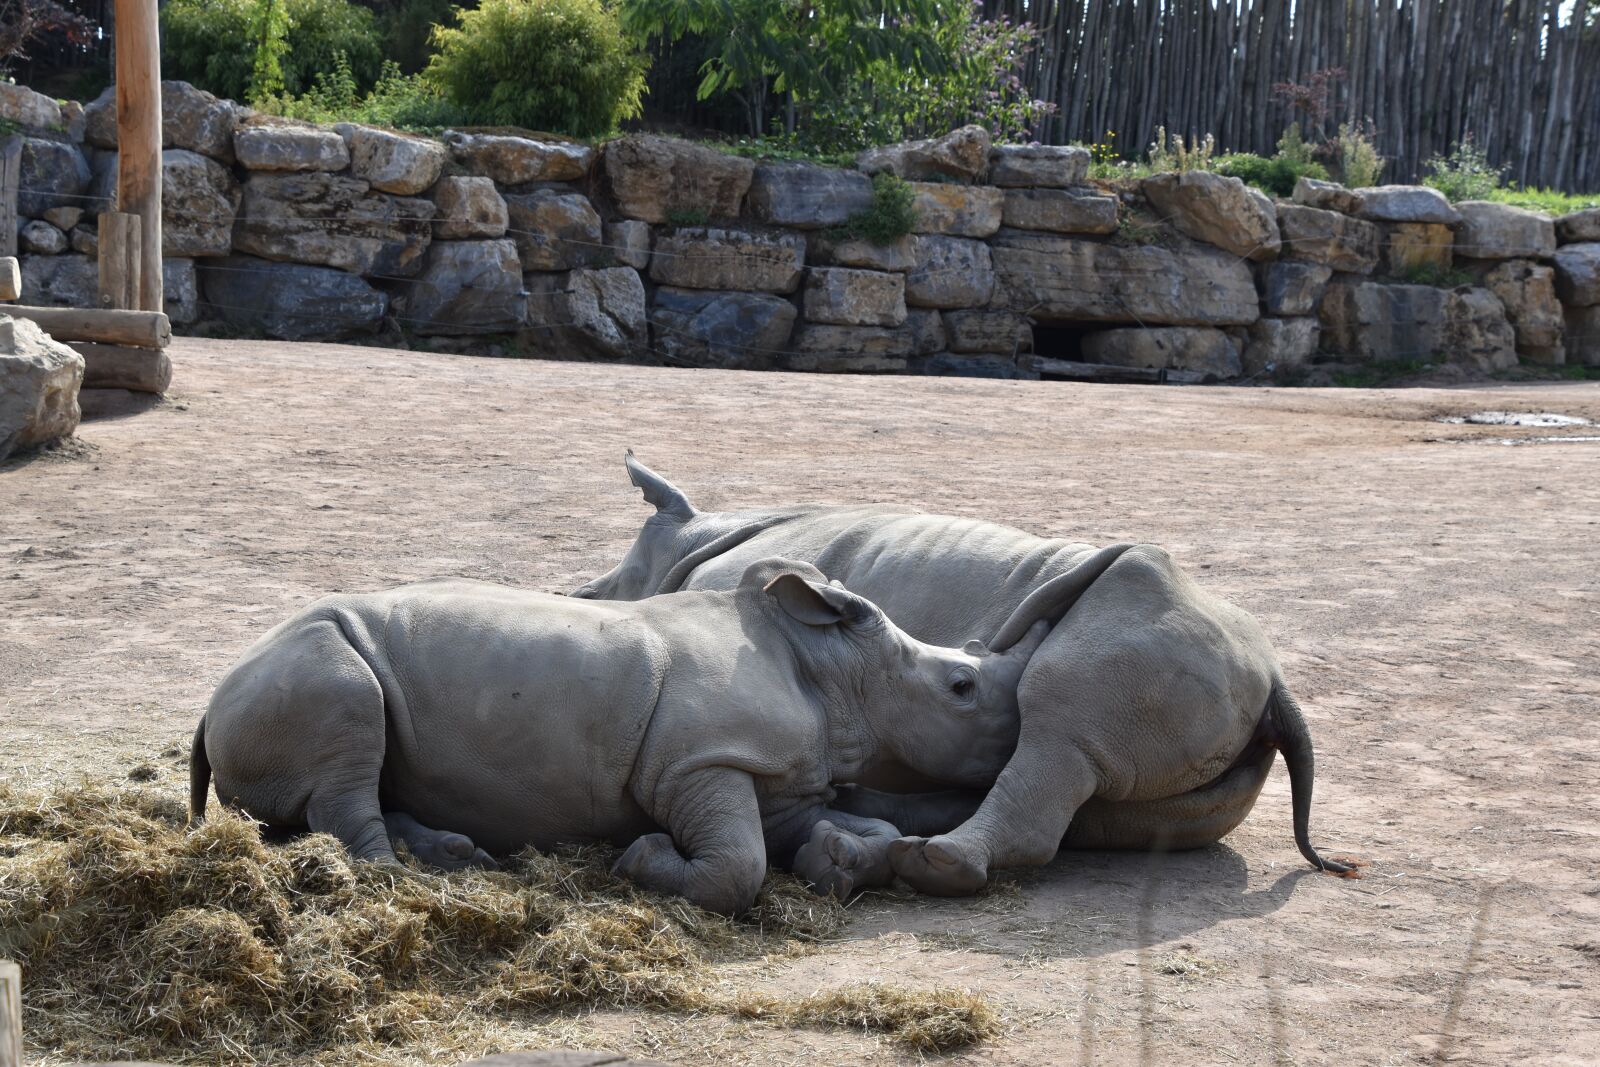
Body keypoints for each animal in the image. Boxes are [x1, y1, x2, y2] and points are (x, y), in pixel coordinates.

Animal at [189, 558, 1050, 914]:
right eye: (963, 686)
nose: (1019, 728)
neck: (836, 671)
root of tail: (210, 698)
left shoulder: (779, 779)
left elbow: (857, 830)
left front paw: (832, 861)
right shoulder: (698, 763)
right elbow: (737, 867)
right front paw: (640, 860)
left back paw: (455, 857)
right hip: (315, 662)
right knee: (349, 745)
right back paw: (402, 879)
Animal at [572, 454, 1356, 897]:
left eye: (610, 588)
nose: (577, 594)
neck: (694, 540)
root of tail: (1275, 682)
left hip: (1145, 638)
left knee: (1057, 736)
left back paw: (927, 864)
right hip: (1210, 706)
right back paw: (857, 849)